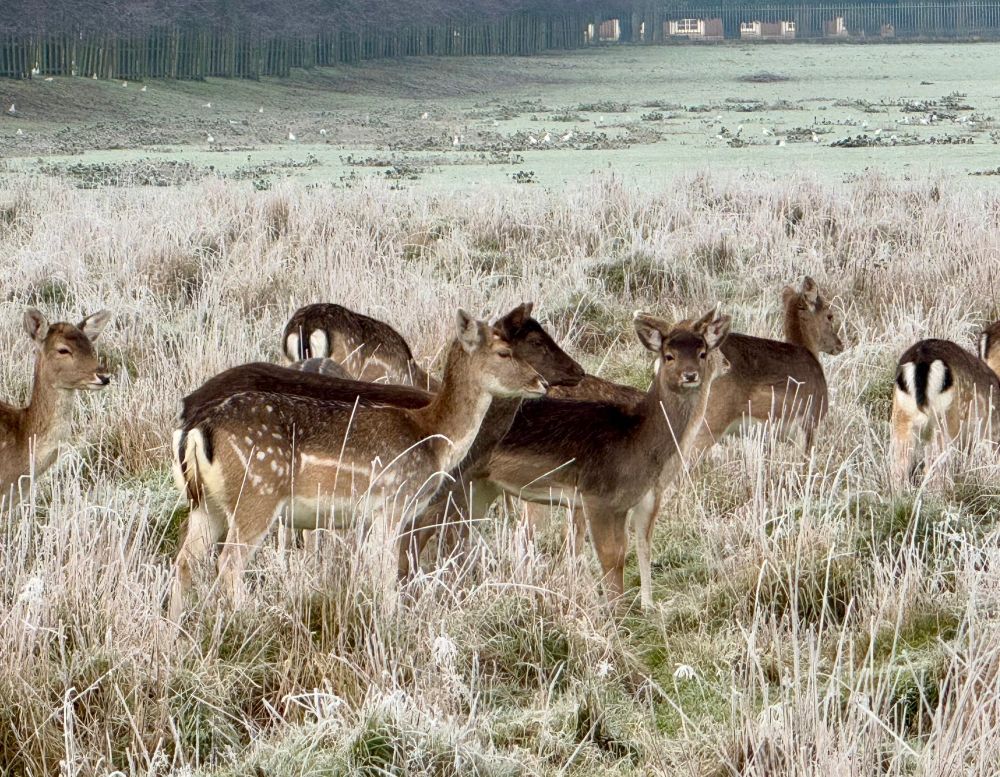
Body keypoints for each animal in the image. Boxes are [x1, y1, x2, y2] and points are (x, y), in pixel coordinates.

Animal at [398, 308, 731, 612]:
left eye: (702, 352)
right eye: (669, 355)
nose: (691, 375)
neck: (637, 440)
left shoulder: (624, 502)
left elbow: (625, 551)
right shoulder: (597, 497)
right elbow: (610, 557)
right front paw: (615, 617)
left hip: (479, 488)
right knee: (418, 531)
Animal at [890, 320, 1000, 488]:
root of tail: (922, 363)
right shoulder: (990, 434)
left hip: (901, 416)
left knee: (899, 467)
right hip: (944, 420)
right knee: (934, 468)